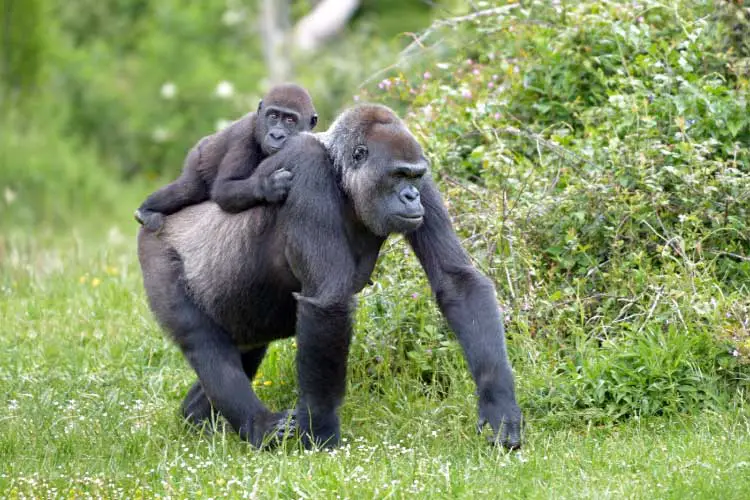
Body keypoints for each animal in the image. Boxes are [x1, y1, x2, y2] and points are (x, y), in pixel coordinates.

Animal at [135, 82, 318, 230]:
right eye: (273, 116)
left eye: (290, 120)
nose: (277, 135)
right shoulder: (242, 135)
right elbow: (224, 188)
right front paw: (269, 185)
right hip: (197, 155)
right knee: (187, 189)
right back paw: (146, 210)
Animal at [137, 103, 524, 448]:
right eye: (398, 175)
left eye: (414, 176)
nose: (411, 197)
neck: (342, 176)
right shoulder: (308, 168)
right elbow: (328, 300)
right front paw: (320, 433)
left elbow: (456, 280)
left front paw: (499, 406)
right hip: (156, 249)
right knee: (204, 343)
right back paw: (259, 427)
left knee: (245, 347)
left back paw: (196, 418)